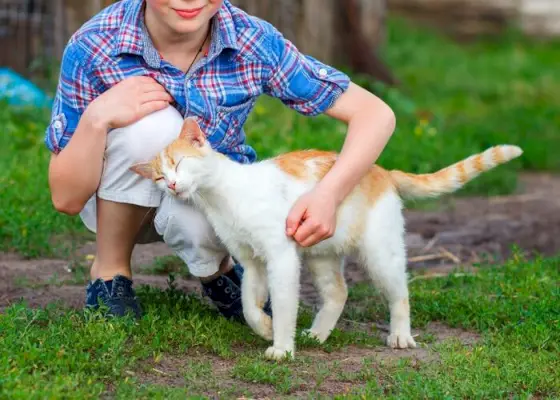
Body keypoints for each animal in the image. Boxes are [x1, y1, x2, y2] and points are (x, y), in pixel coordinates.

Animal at [129, 117, 524, 360]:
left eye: (179, 164)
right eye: (160, 178)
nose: (174, 186)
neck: (221, 199)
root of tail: (382, 171)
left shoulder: (281, 257)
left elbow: (284, 304)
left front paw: (282, 347)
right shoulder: (253, 262)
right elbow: (249, 304)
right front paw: (265, 329)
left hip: (380, 254)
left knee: (400, 293)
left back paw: (400, 336)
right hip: (320, 254)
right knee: (339, 292)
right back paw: (318, 334)